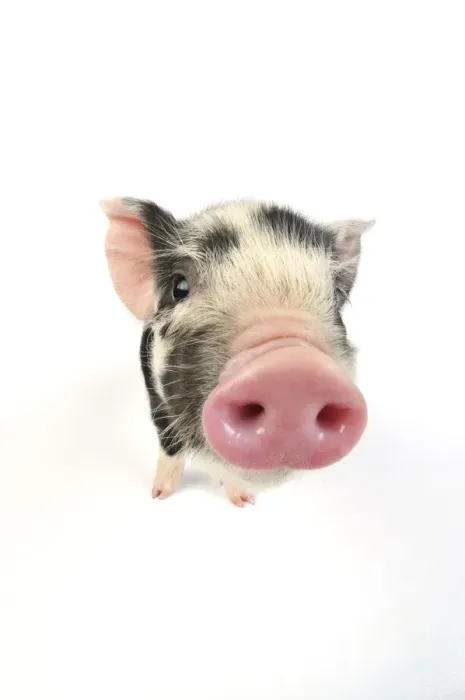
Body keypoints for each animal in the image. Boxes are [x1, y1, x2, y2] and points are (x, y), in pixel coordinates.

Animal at [101, 197, 373, 506]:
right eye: (179, 287)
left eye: (336, 297)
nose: (291, 367)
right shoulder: (153, 385)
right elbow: (169, 440)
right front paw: (159, 496)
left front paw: (245, 502)